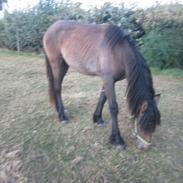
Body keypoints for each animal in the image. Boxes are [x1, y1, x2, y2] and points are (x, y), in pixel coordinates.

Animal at [42, 20, 160, 150]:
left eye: (156, 123)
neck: (119, 51)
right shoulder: (108, 79)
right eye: (144, 123)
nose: (145, 146)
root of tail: (50, 29)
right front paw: (117, 139)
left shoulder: (109, 80)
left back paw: (60, 110)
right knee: (57, 88)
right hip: (57, 64)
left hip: (64, 65)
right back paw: (62, 117)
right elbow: (113, 107)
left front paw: (97, 118)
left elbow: (102, 98)